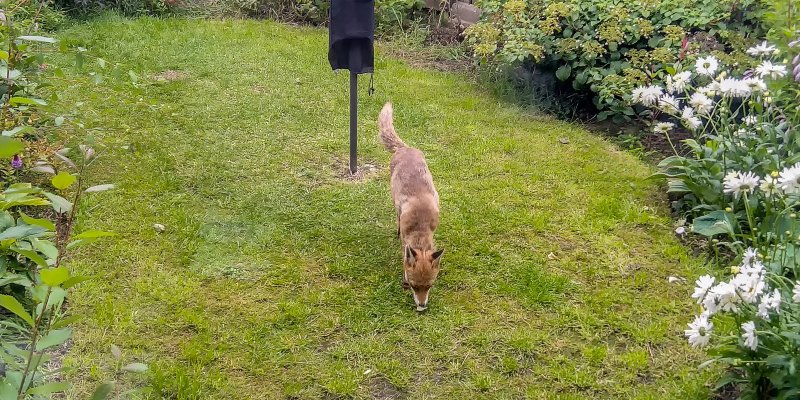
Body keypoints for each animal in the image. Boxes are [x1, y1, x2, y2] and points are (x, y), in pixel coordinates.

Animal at [376, 102, 444, 312]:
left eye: (430, 285)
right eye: (414, 286)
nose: (422, 307)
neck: (421, 223)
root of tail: (405, 148)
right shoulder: (405, 240)